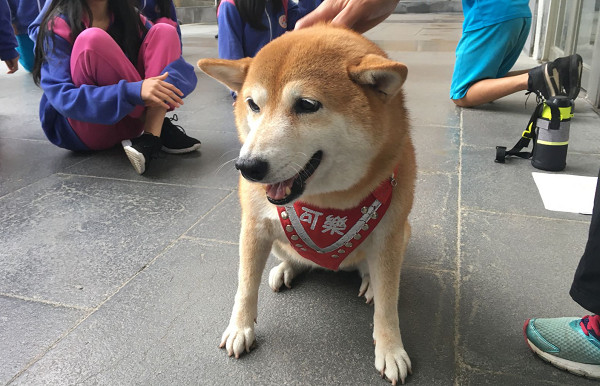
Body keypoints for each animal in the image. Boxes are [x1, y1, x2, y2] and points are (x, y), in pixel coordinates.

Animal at [199, 24, 414, 386]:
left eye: (307, 105)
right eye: (253, 104)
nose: (247, 167)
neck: (326, 202)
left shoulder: (388, 235)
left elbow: (388, 303)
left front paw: (391, 349)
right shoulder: (254, 225)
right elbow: (245, 285)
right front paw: (240, 327)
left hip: (402, 234)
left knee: (371, 269)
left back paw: (369, 280)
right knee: (293, 256)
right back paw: (286, 268)